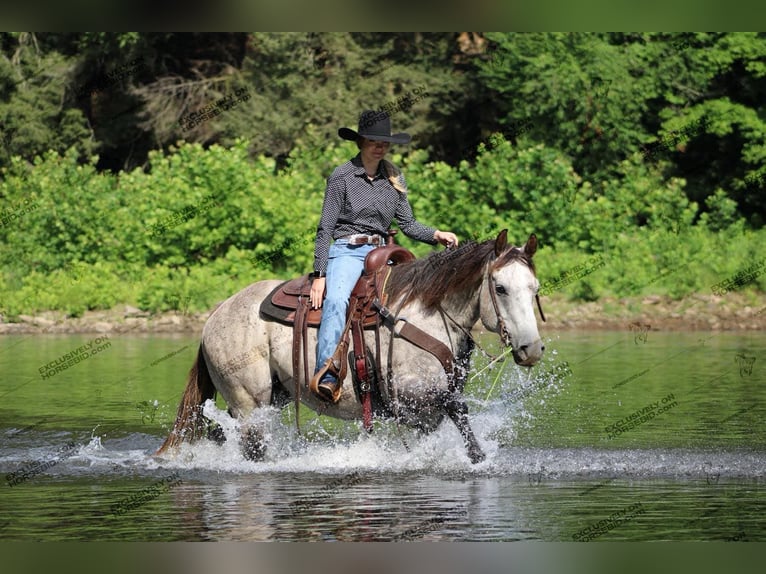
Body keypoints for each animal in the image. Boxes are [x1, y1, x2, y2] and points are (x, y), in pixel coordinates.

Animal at [158, 230, 544, 464]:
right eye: (500, 288)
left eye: (535, 288)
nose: (532, 349)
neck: (426, 315)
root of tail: (215, 315)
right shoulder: (410, 395)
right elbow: (460, 412)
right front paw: (479, 458)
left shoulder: (426, 413)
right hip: (249, 404)